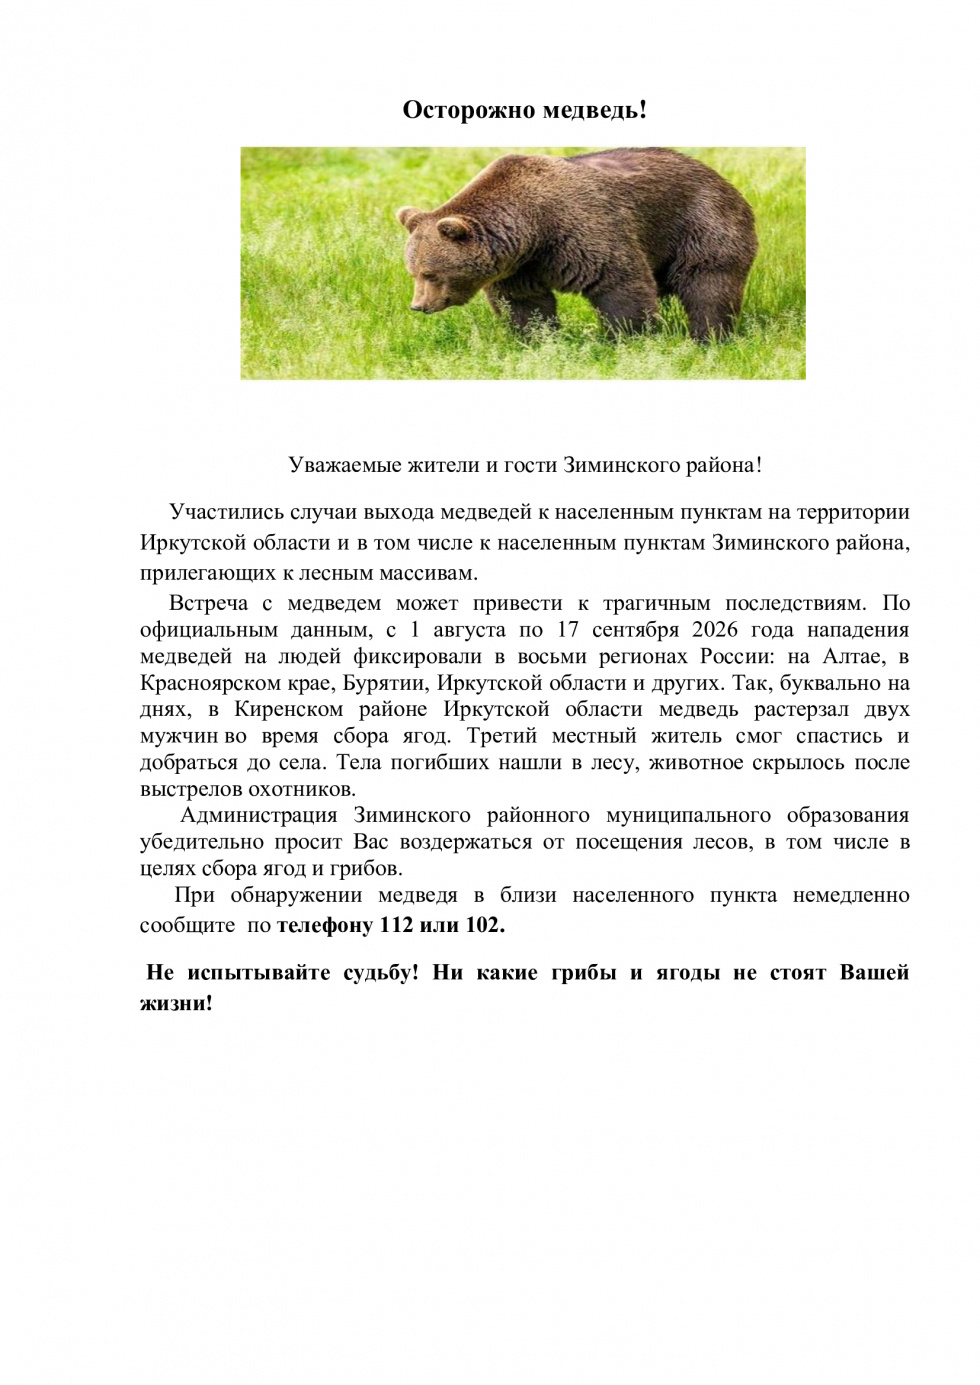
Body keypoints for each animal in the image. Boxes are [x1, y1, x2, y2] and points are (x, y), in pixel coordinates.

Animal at [396, 148, 758, 341]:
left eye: (430, 273)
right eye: (413, 272)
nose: (419, 305)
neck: (533, 228)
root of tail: (723, 179)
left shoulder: (582, 229)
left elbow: (620, 283)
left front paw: (627, 336)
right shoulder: (521, 266)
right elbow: (525, 304)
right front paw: (535, 338)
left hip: (699, 225)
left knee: (708, 283)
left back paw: (708, 335)